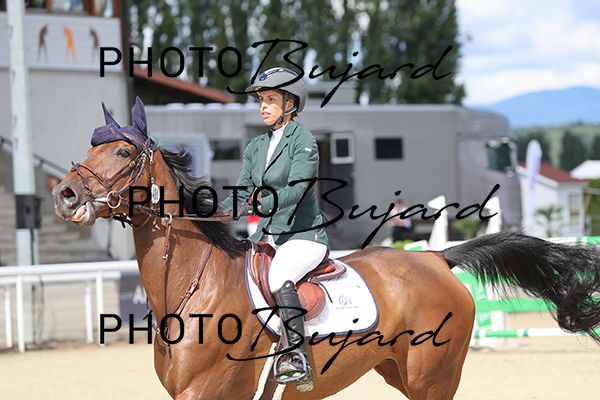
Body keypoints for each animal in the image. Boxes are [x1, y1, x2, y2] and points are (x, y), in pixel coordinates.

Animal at [53, 112, 600, 400]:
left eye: (124, 154)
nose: (64, 194)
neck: (191, 289)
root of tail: (436, 258)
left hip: (433, 377)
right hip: (398, 370)